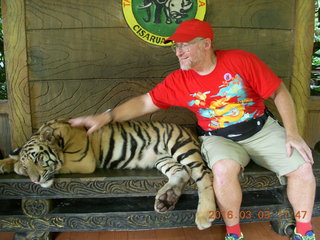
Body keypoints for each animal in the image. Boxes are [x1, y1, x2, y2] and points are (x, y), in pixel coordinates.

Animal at [0, 119, 216, 230]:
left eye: (37, 159)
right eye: (28, 166)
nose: (35, 180)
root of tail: (188, 129)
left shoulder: (83, 161)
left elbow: (60, 164)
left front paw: (15, 166)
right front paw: (8, 163)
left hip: (180, 146)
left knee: (203, 174)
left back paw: (204, 216)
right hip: (163, 159)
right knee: (181, 172)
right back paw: (166, 199)